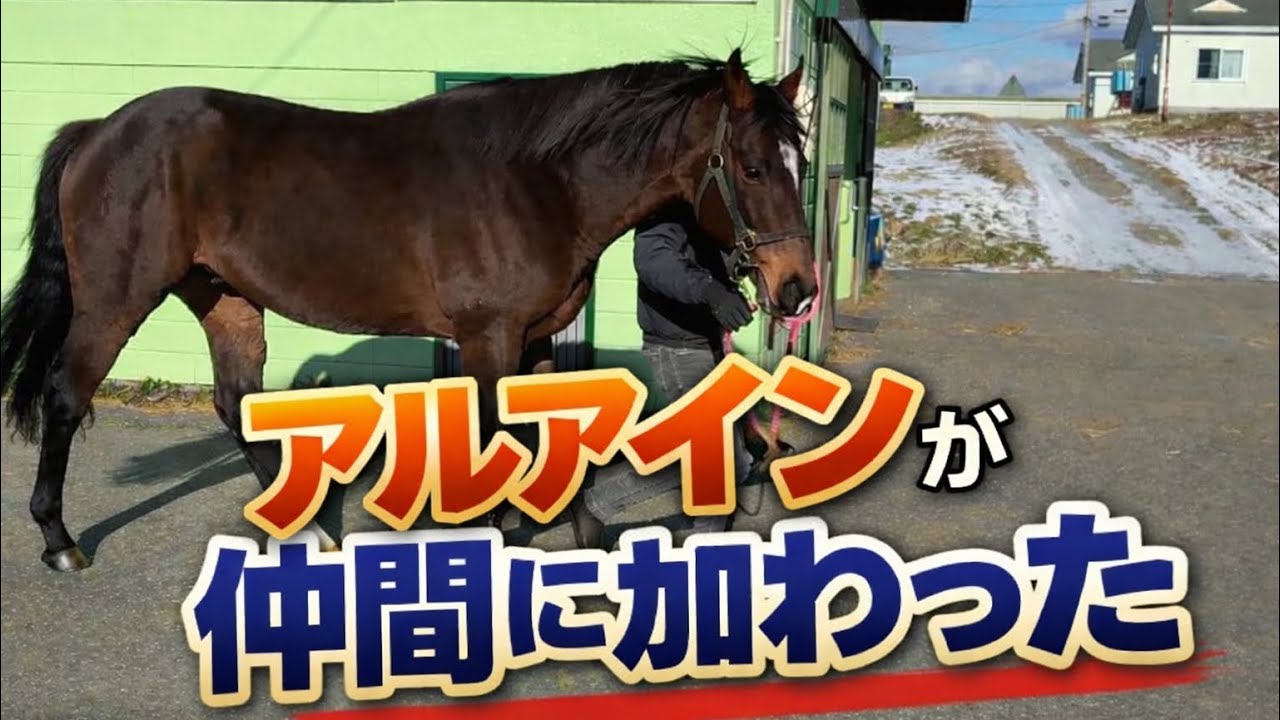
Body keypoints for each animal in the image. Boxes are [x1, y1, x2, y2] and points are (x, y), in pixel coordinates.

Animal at [0, 49, 818, 573]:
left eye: (800, 163)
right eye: (751, 167)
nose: (798, 289)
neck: (539, 181)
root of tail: (97, 132)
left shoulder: (537, 336)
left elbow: (549, 435)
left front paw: (579, 529)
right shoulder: (488, 337)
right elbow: (496, 440)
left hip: (224, 297)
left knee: (236, 406)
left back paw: (307, 531)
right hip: (116, 300)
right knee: (67, 397)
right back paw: (59, 541)